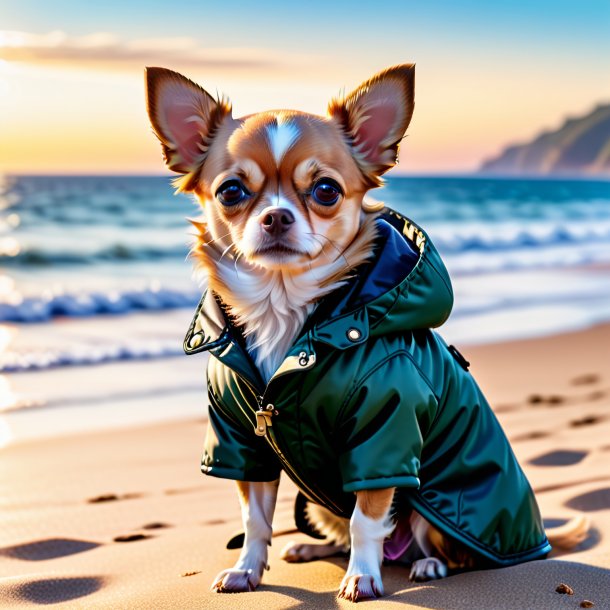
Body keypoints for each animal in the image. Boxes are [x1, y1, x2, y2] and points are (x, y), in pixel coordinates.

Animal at [145, 63, 588, 600]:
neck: (285, 312)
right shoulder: (242, 441)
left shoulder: (384, 437)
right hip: (319, 503)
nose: (276, 216)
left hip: (432, 503)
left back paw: (428, 565)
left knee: (441, 548)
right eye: (231, 191)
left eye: (326, 191)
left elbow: (365, 519)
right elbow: (255, 518)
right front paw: (247, 569)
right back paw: (310, 548)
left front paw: (361, 577)